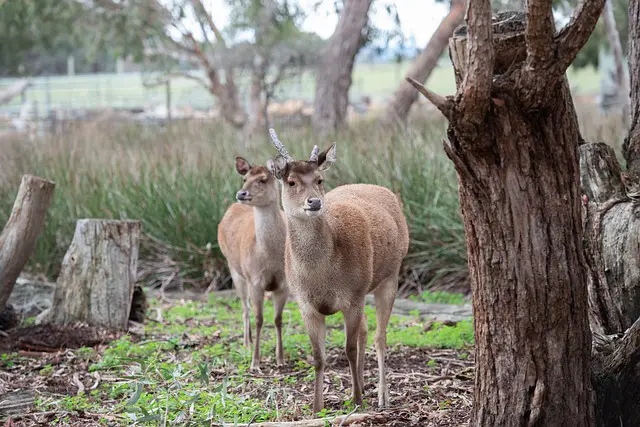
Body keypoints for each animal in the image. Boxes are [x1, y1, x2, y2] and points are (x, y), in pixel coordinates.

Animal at [218, 157, 288, 372]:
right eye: (245, 178)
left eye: (263, 179)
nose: (241, 193)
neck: (270, 257)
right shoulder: (255, 280)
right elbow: (259, 319)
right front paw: (255, 362)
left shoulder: (284, 284)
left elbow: (278, 319)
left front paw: (280, 359)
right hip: (234, 270)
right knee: (245, 307)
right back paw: (246, 344)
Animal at [264, 129, 410, 412]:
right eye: (291, 182)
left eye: (319, 179)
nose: (314, 202)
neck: (322, 276)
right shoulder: (305, 303)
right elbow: (318, 356)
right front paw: (316, 406)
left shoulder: (352, 296)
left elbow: (349, 349)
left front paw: (357, 400)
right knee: (366, 331)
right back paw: (363, 385)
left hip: (390, 275)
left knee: (380, 336)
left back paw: (381, 396)